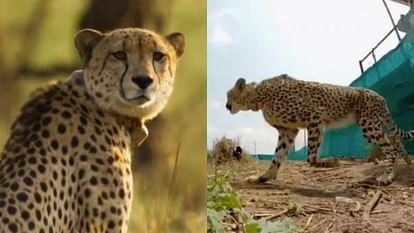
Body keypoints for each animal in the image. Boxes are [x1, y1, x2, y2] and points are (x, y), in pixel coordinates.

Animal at [226, 74, 414, 186]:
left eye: (229, 95)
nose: (227, 106)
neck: (258, 96)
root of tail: (379, 95)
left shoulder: (316, 116)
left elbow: (311, 157)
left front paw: (331, 162)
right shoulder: (288, 131)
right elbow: (277, 157)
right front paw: (263, 177)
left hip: (369, 125)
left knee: (390, 149)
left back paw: (388, 176)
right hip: (375, 124)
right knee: (395, 141)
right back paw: (406, 163)